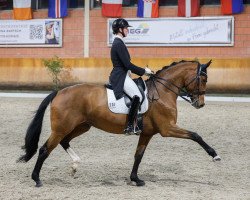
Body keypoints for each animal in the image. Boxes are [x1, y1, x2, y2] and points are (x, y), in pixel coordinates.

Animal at [18, 59, 221, 188]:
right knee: (45, 149)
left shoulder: (147, 133)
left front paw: (135, 179)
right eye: (204, 79)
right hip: (62, 128)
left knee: (64, 142)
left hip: (82, 126)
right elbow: (195, 135)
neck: (162, 92)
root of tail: (58, 92)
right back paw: (37, 179)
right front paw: (215, 155)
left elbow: (138, 156)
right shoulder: (167, 129)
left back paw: (75, 166)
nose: (200, 104)